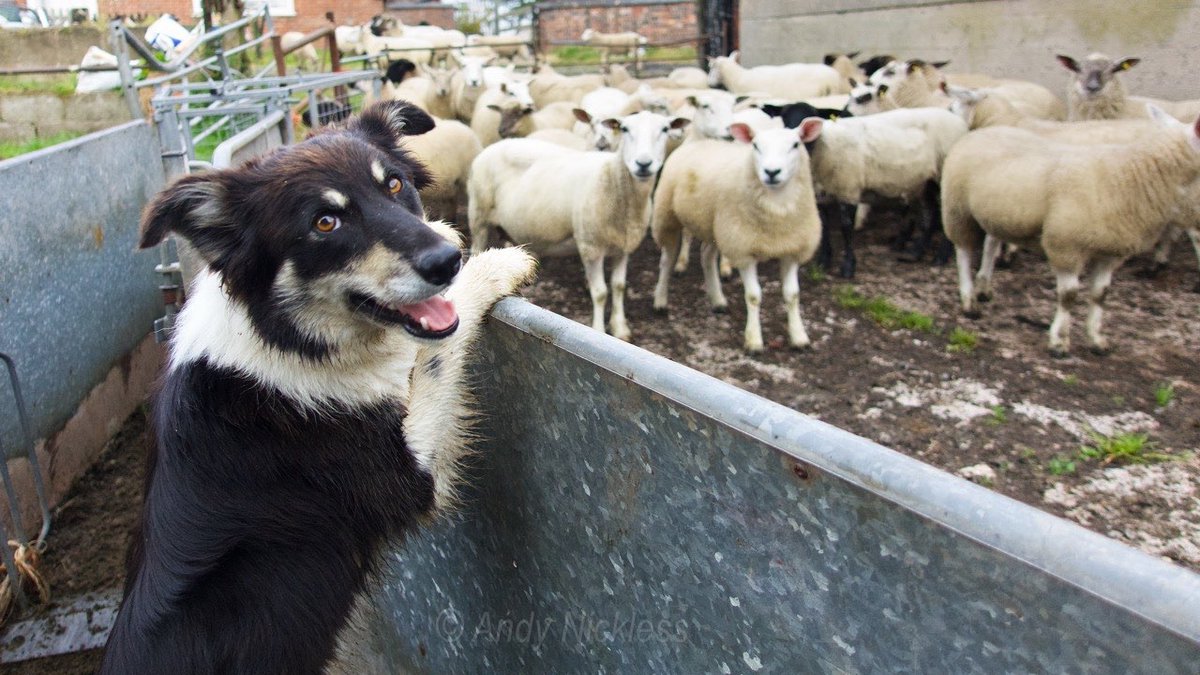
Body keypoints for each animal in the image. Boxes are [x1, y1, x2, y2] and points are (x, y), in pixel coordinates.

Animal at [469, 112, 688, 339]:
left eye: (665, 129)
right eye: (625, 129)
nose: (643, 164)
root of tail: (493, 146)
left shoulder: (623, 247)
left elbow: (618, 286)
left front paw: (620, 328)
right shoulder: (590, 247)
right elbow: (600, 293)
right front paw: (599, 330)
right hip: (478, 215)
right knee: (476, 247)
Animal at [651, 123, 822, 353]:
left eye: (795, 144)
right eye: (756, 146)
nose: (772, 172)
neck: (777, 210)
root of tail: (697, 141)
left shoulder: (792, 250)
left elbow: (792, 294)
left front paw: (799, 336)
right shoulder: (743, 250)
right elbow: (753, 296)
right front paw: (754, 340)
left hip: (715, 227)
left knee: (706, 255)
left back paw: (717, 300)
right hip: (668, 216)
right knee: (667, 260)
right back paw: (661, 300)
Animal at [941, 106, 1200, 355]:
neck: (1130, 177)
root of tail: (984, 130)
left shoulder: (1111, 253)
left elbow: (1100, 294)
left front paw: (1096, 339)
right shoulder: (1065, 246)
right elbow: (1069, 296)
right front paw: (1059, 341)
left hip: (999, 213)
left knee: (991, 244)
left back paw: (984, 287)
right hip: (958, 209)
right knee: (963, 252)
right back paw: (969, 299)